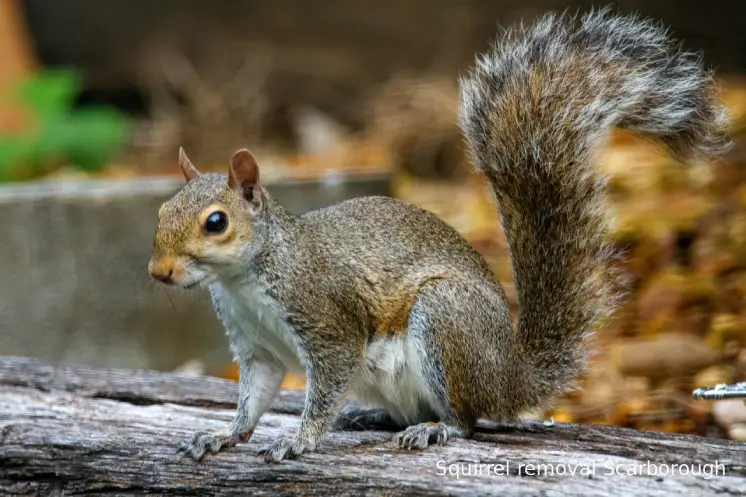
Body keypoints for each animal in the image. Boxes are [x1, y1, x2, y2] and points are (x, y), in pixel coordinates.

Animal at [149, 9, 729, 463]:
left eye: (216, 222)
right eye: (160, 212)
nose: (159, 272)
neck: (245, 278)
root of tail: (511, 377)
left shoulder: (327, 320)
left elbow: (325, 384)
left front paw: (299, 440)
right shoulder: (257, 348)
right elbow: (253, 399)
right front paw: (223, 436)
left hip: (446, 321)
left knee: (469, 420)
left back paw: (434, 428)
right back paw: (373, 419)